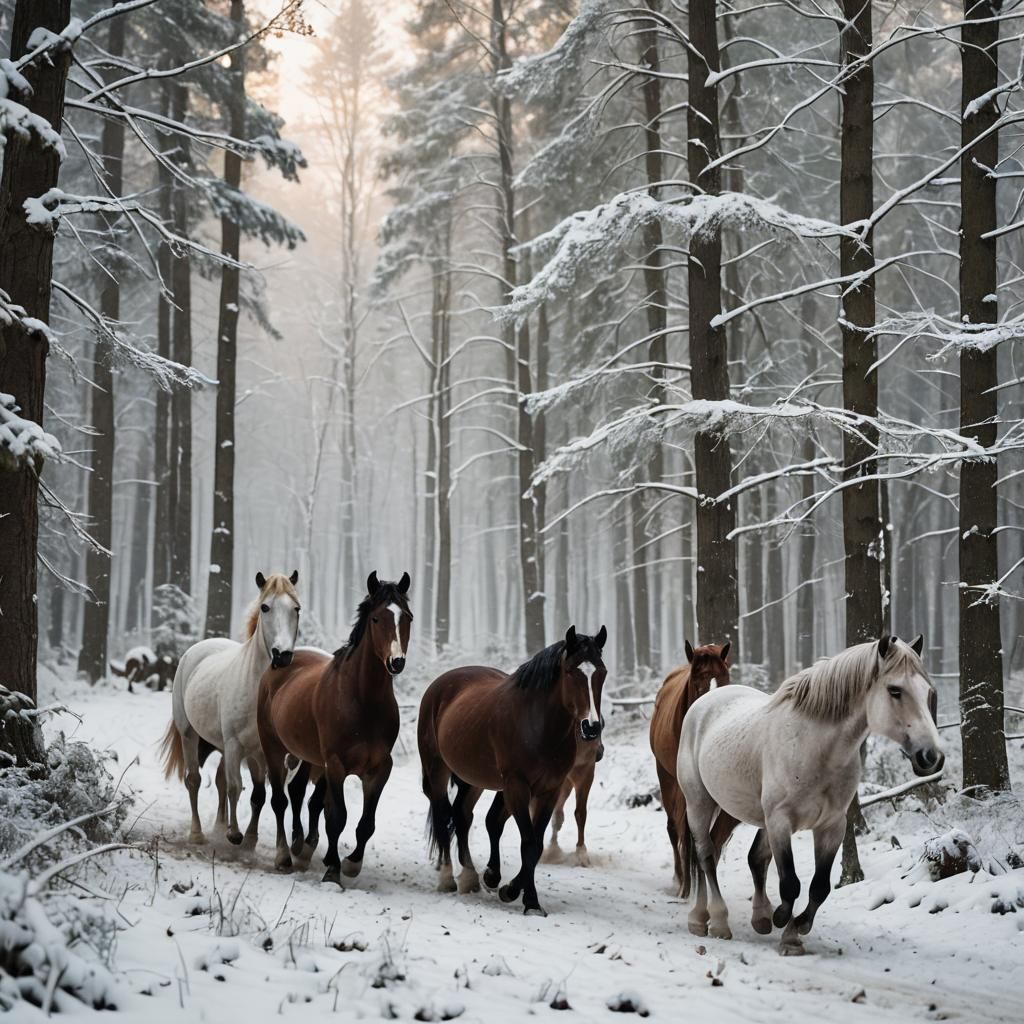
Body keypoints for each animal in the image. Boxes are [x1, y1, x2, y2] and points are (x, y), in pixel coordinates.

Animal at [160, 571, 301, 846]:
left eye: (296, 608)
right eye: (265, 607)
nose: (282, 655)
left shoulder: (262, 752)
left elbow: (260, 794)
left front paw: (251, 838)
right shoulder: (235, 744)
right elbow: (236, 787)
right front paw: (235, 834)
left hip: (225, 746)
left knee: (221, 781)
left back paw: (219, 826)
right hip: (190, 734)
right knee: (194, 780)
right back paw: (198, 833)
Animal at [257, 571, 412, 883]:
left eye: (408, 618)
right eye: (376, 619)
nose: (396, 661)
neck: (363, 700)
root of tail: (282, 662)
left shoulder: (379, 768)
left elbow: (365, 822)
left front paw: (351, 863)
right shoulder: (336, 765)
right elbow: (337, 817)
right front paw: (333, 871)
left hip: (308, 756)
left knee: (299, 794)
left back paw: (301, 846)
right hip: (274, 748)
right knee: (280, 799)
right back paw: (284, 855)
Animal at [417, 625, 607, 916]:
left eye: (602, 672)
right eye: (571, 672)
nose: (591, 727)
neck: (537, 725)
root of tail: (440, 685)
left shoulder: (549, 790)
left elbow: (535, 844)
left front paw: (510, 889)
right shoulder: (517, 787)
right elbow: (528, 842)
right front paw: (529, 901)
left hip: (475, 781)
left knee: (462, 816)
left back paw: (472, 875)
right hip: (437, 771)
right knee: (443, 814)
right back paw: (448, 877)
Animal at [649, 640, 731, 896]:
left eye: (725, 676)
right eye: (697, 680)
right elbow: (684, 830)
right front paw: (686, 886)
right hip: (666, 776)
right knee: (674, 827)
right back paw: (680, 879)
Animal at [677, 635, 943, 956]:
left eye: (928, 692)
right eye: (895, 691)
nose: (931, 757)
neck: (814, 747)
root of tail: (708, 699)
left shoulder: (832, 826)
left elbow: (819, 887)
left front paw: (794, 931)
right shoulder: (780, 822)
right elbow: (790, 882)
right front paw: (784, 921)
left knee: (751, 858)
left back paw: (758, 917)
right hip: (700, 803)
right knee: (704, 854)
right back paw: (710, 920)